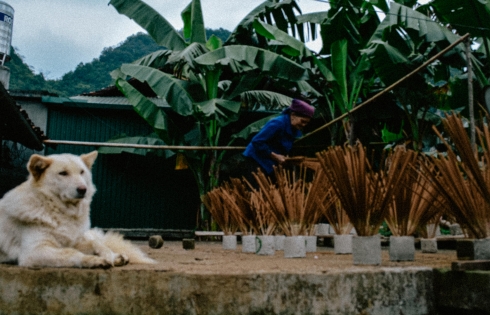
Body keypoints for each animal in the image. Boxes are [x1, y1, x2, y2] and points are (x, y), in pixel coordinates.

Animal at [0, 151, 155, 270]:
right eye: (63, 173)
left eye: (82, 172)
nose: (83, 189)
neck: (61, 212)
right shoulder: (34, 252)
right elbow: (71, 253)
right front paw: (93, 260)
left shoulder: (74, 241)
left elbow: (95, 244)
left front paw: (109, 256)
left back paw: (116, 256)